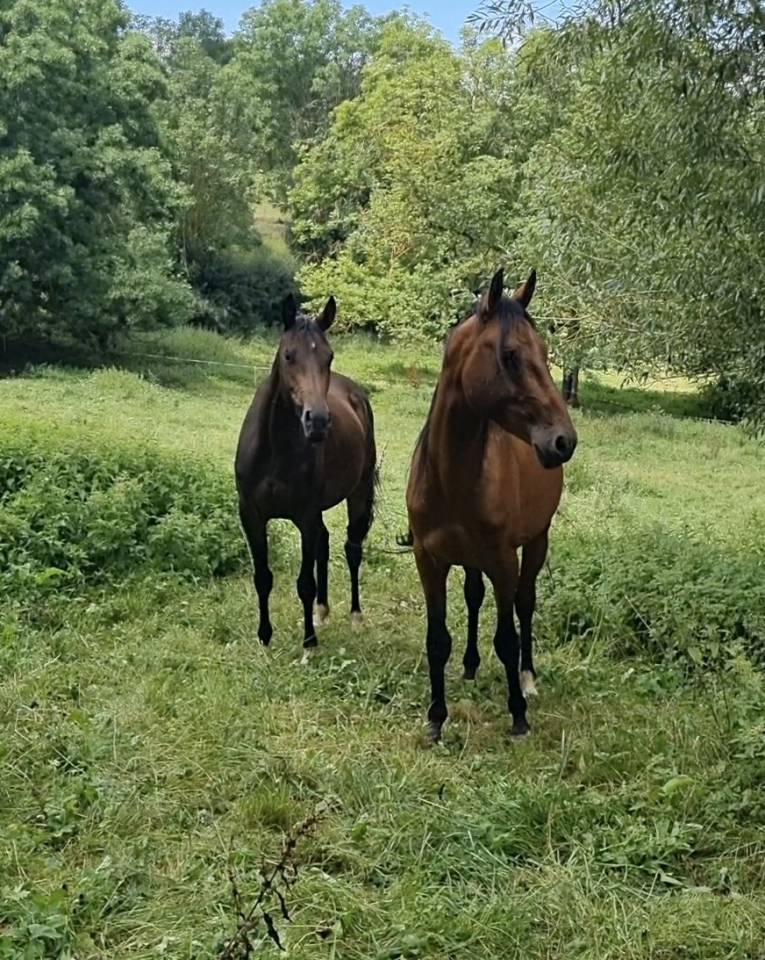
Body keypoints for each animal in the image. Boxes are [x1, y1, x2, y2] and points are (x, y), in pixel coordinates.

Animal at [235, 294, 377, 656]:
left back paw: (355, 616)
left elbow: (304, 583)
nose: (319, 422)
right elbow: (263, 576)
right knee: (325, 543)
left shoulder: (305, 516)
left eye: (329, 356)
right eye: (289, 355)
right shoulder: (251, 515)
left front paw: (309, 643)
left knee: (352, 548)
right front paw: (264, 636)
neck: (274, 451)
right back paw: (322, 612)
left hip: (358, 494)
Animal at [404, 268, 578, 741]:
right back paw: (469, 665)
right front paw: (436, 717)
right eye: (510, 355)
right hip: (470, 558)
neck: (451, 478)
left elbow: (507, 637)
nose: (563, 441)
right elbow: (437, 639)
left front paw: (518, 715)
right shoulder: (429, 559)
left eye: (546, 352)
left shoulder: (503, 560)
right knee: (473, 596)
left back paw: (528, 677)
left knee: (525, 605)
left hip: (535, 544)